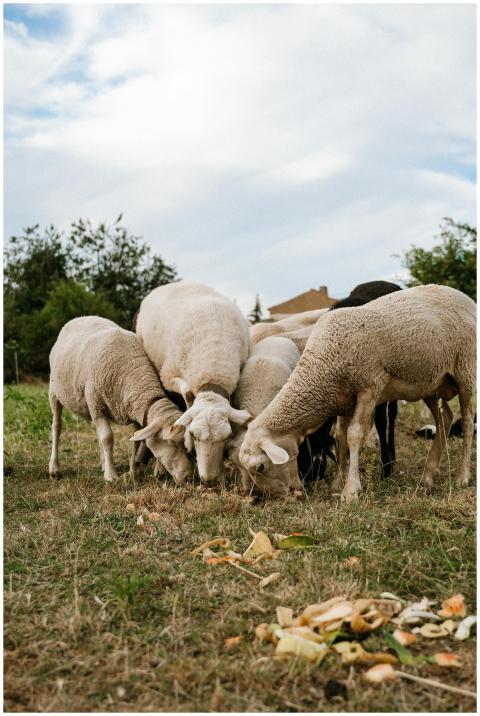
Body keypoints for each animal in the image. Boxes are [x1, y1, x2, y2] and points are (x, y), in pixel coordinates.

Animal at [48, 316, 193, 485]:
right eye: (171, 442)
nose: (188, 478)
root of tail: (81, 317)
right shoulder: (97, 404)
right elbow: (107, 438)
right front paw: (111, 476)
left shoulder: (134, 413)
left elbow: (135, 441)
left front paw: (132, 472)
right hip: (54, 392)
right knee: (56, 427)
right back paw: (54, 468)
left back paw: (103, 464)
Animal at [239, 285, 476, 501]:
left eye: (260, 467)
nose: (273, 498)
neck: (321, 367)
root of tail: (463, 296)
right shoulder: (344, 399)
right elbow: (340, 437)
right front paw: (337, 484)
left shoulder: (369, 388)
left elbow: (354, 435)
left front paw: (351, 490)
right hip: (431, 383)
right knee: (445, 418)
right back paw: (428, 476)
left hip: (465, 370)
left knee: (466, 421)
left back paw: (462, 476)